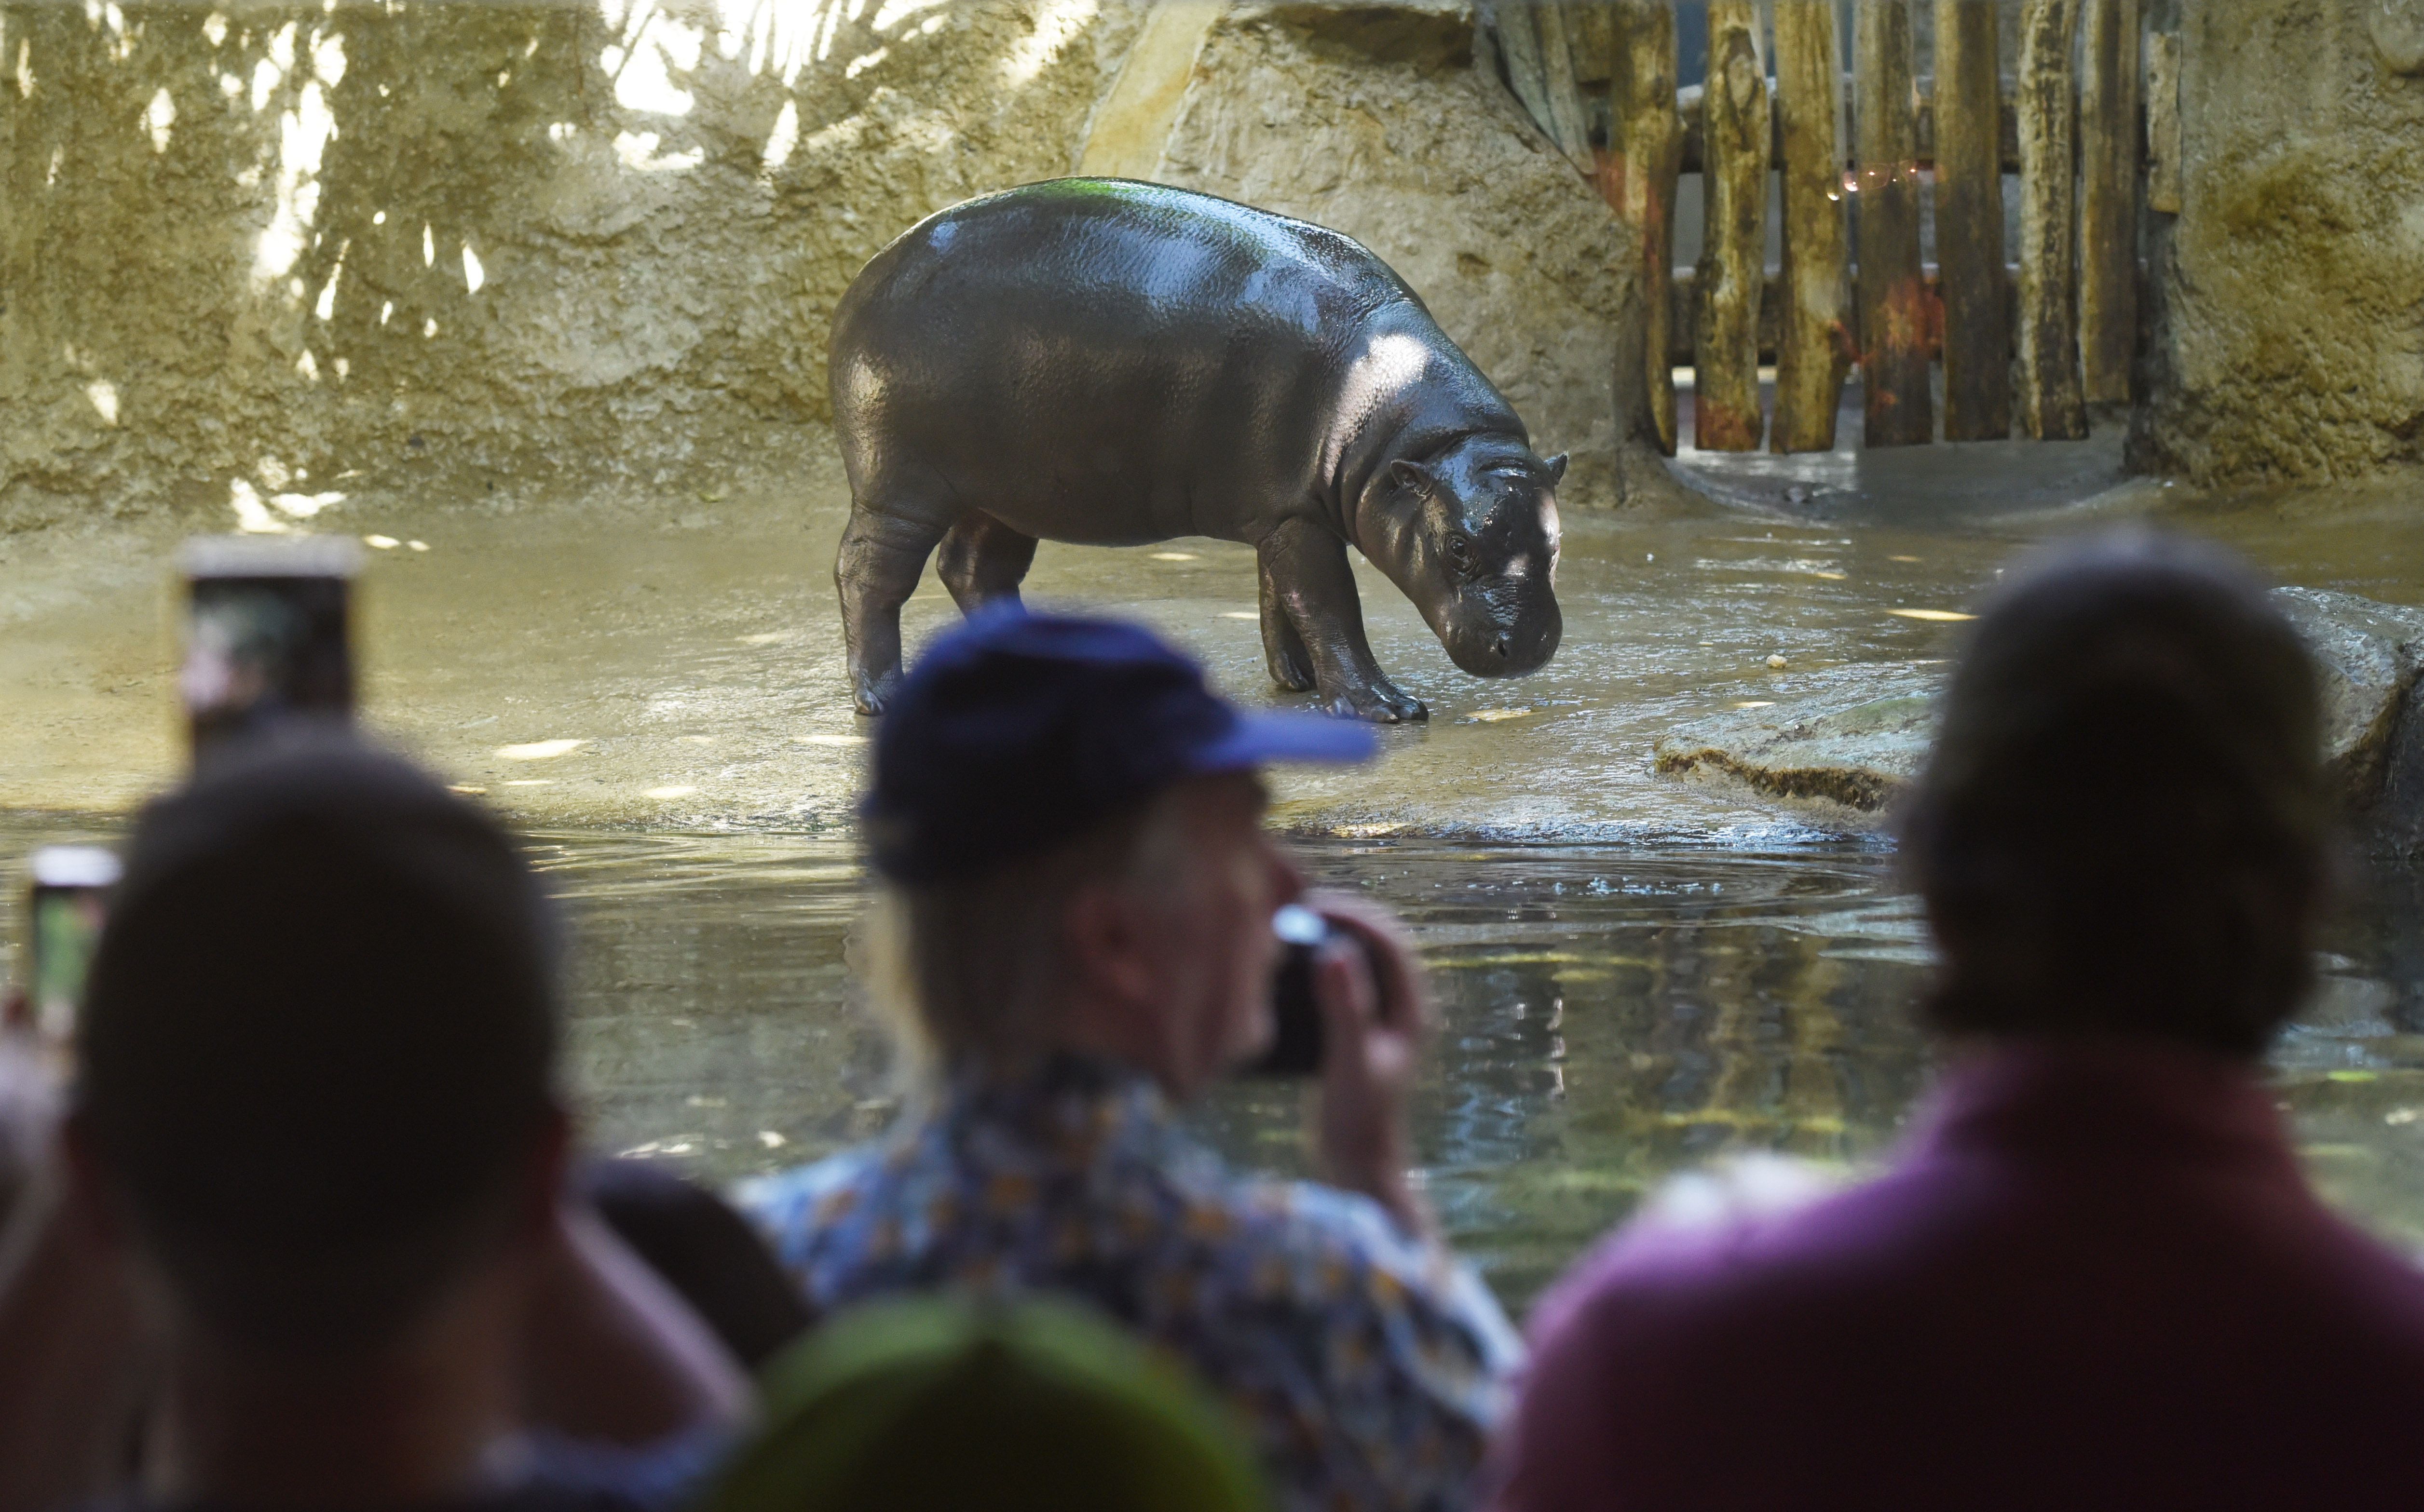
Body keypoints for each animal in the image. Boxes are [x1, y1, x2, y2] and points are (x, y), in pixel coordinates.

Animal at [829, 178, 1565, 722]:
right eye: (1458, 548)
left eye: (1556, 543)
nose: (1529, 645)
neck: (1423, 438)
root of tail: (866, 274)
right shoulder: (1294, 514)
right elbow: (1329, 603)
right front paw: (1386, 707)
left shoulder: (1285, 508)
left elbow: (1281, 595)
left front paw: (1296, 680)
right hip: (900, 486)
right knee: (869, 573)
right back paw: (881, 698)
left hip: (1008, 488)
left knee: (975, 570)